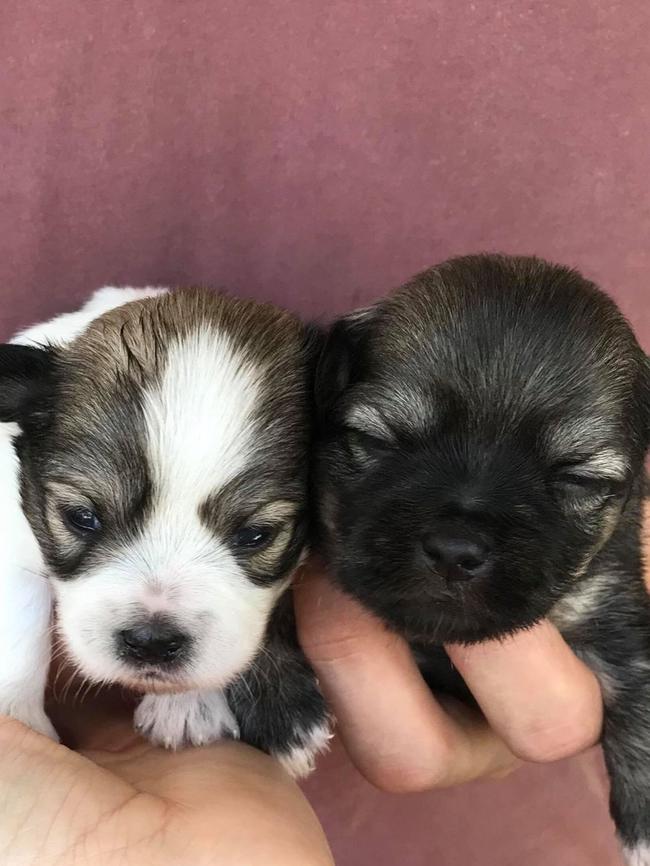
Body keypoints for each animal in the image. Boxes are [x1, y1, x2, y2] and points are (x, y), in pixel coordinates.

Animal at [1, 286, 330, 776]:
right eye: (82, 517)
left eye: (256, 535)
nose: (151, 642)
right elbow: (20, 615)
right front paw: (17, 715)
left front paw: (263, 710)